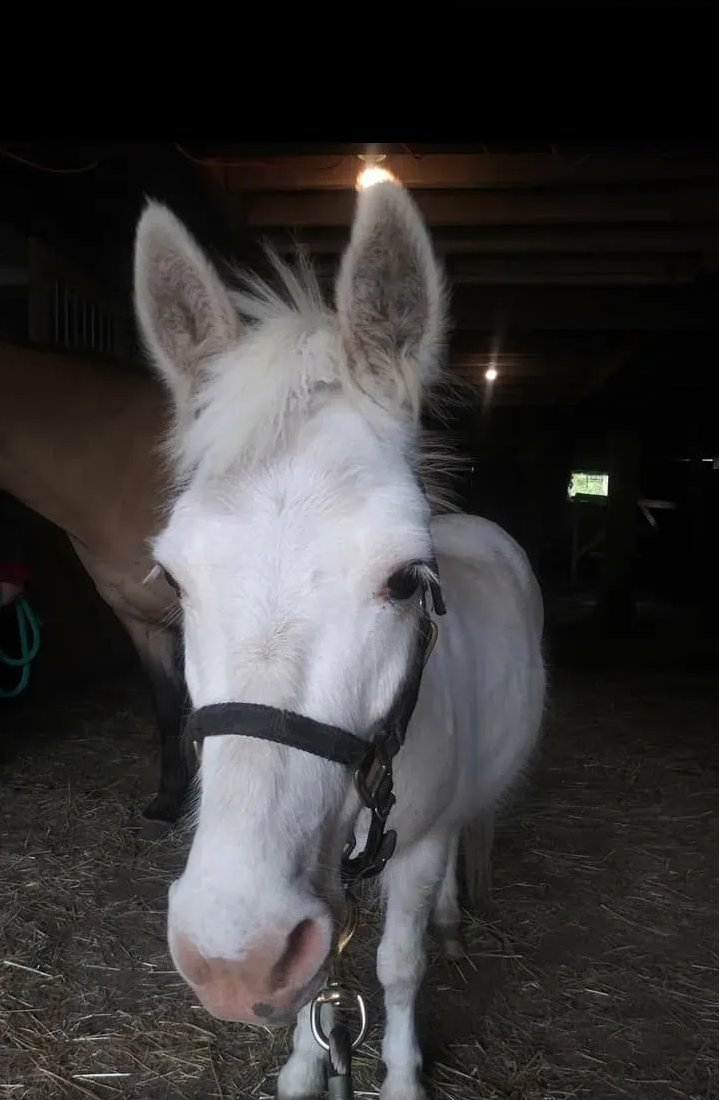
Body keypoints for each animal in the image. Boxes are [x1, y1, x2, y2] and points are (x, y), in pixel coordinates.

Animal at [132, 179, 546, 1100]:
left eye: (406, 581)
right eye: (174, 579)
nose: (234, 959)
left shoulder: (417, 847)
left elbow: (396, 964)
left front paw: (400, 1077)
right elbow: (322, 983)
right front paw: (301, 1070)